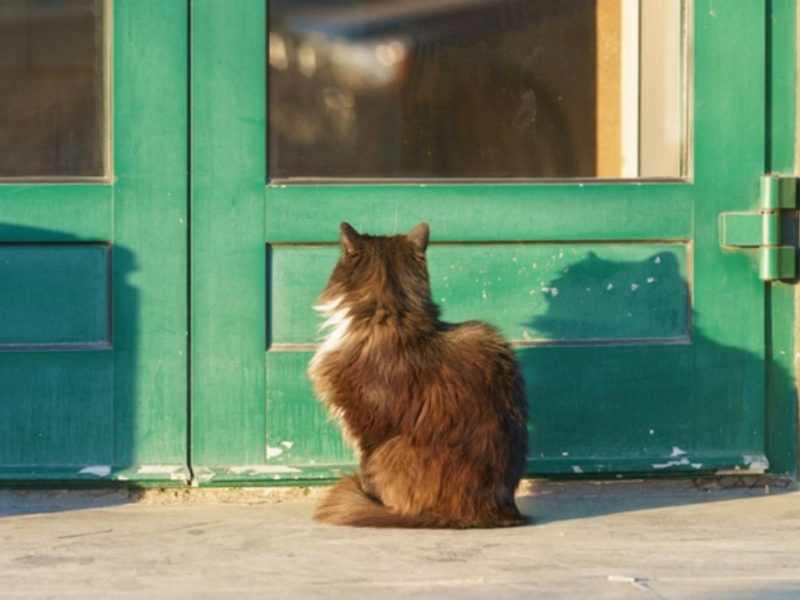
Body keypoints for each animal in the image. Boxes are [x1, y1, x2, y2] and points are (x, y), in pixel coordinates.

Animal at [310, 223, 528, 528]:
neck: (388, 315)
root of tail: (493, 510)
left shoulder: (368, 429)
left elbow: (366, 471)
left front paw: (370, 498)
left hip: (392, 450)